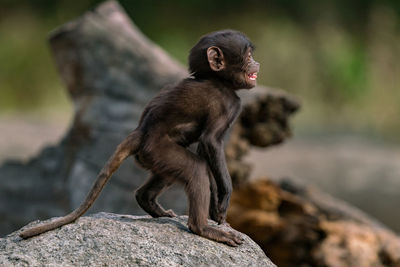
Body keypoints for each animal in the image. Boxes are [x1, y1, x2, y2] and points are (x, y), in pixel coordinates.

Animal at [20, 29, 260, 247]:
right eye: (248, 56)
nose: (257, 64)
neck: (214, 78)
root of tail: (141, 130)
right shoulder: (229, 103)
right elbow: (210, 142)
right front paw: (225, 196)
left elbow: (205, 148)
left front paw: (218, 211)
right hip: (157, 150)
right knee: (196, 168)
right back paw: (201, 228)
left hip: (154, 157)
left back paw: (149, 202)